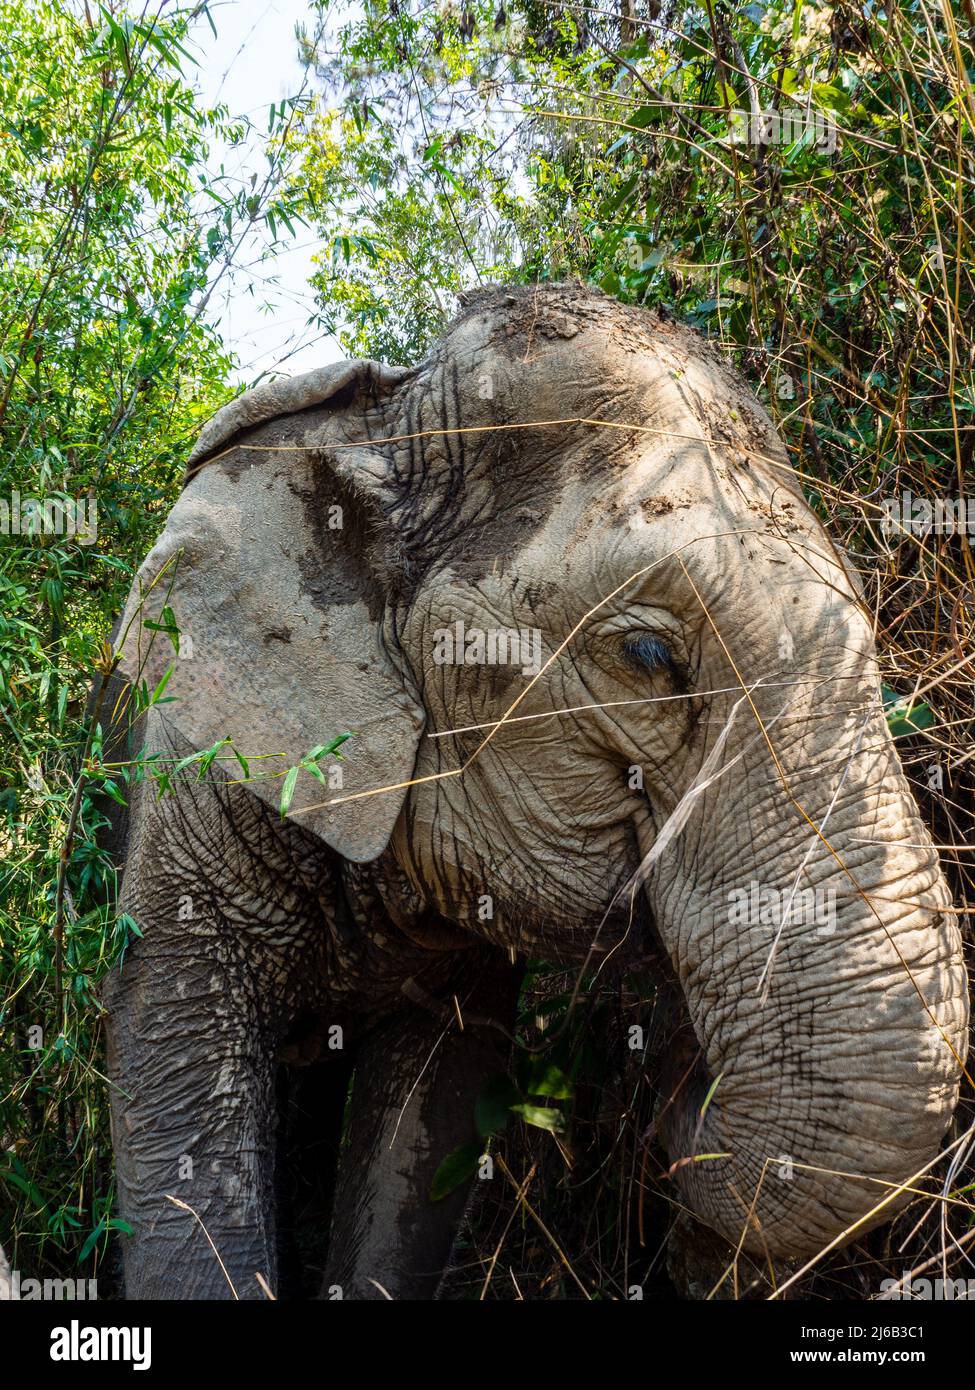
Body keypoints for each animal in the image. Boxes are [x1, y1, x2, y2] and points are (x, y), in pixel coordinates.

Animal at [102, 284, 968, 1301]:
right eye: (647, 655)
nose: (679, 1076)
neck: (383, 422)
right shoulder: (188, 767)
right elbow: (172, 1079)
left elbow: (434, 1104)